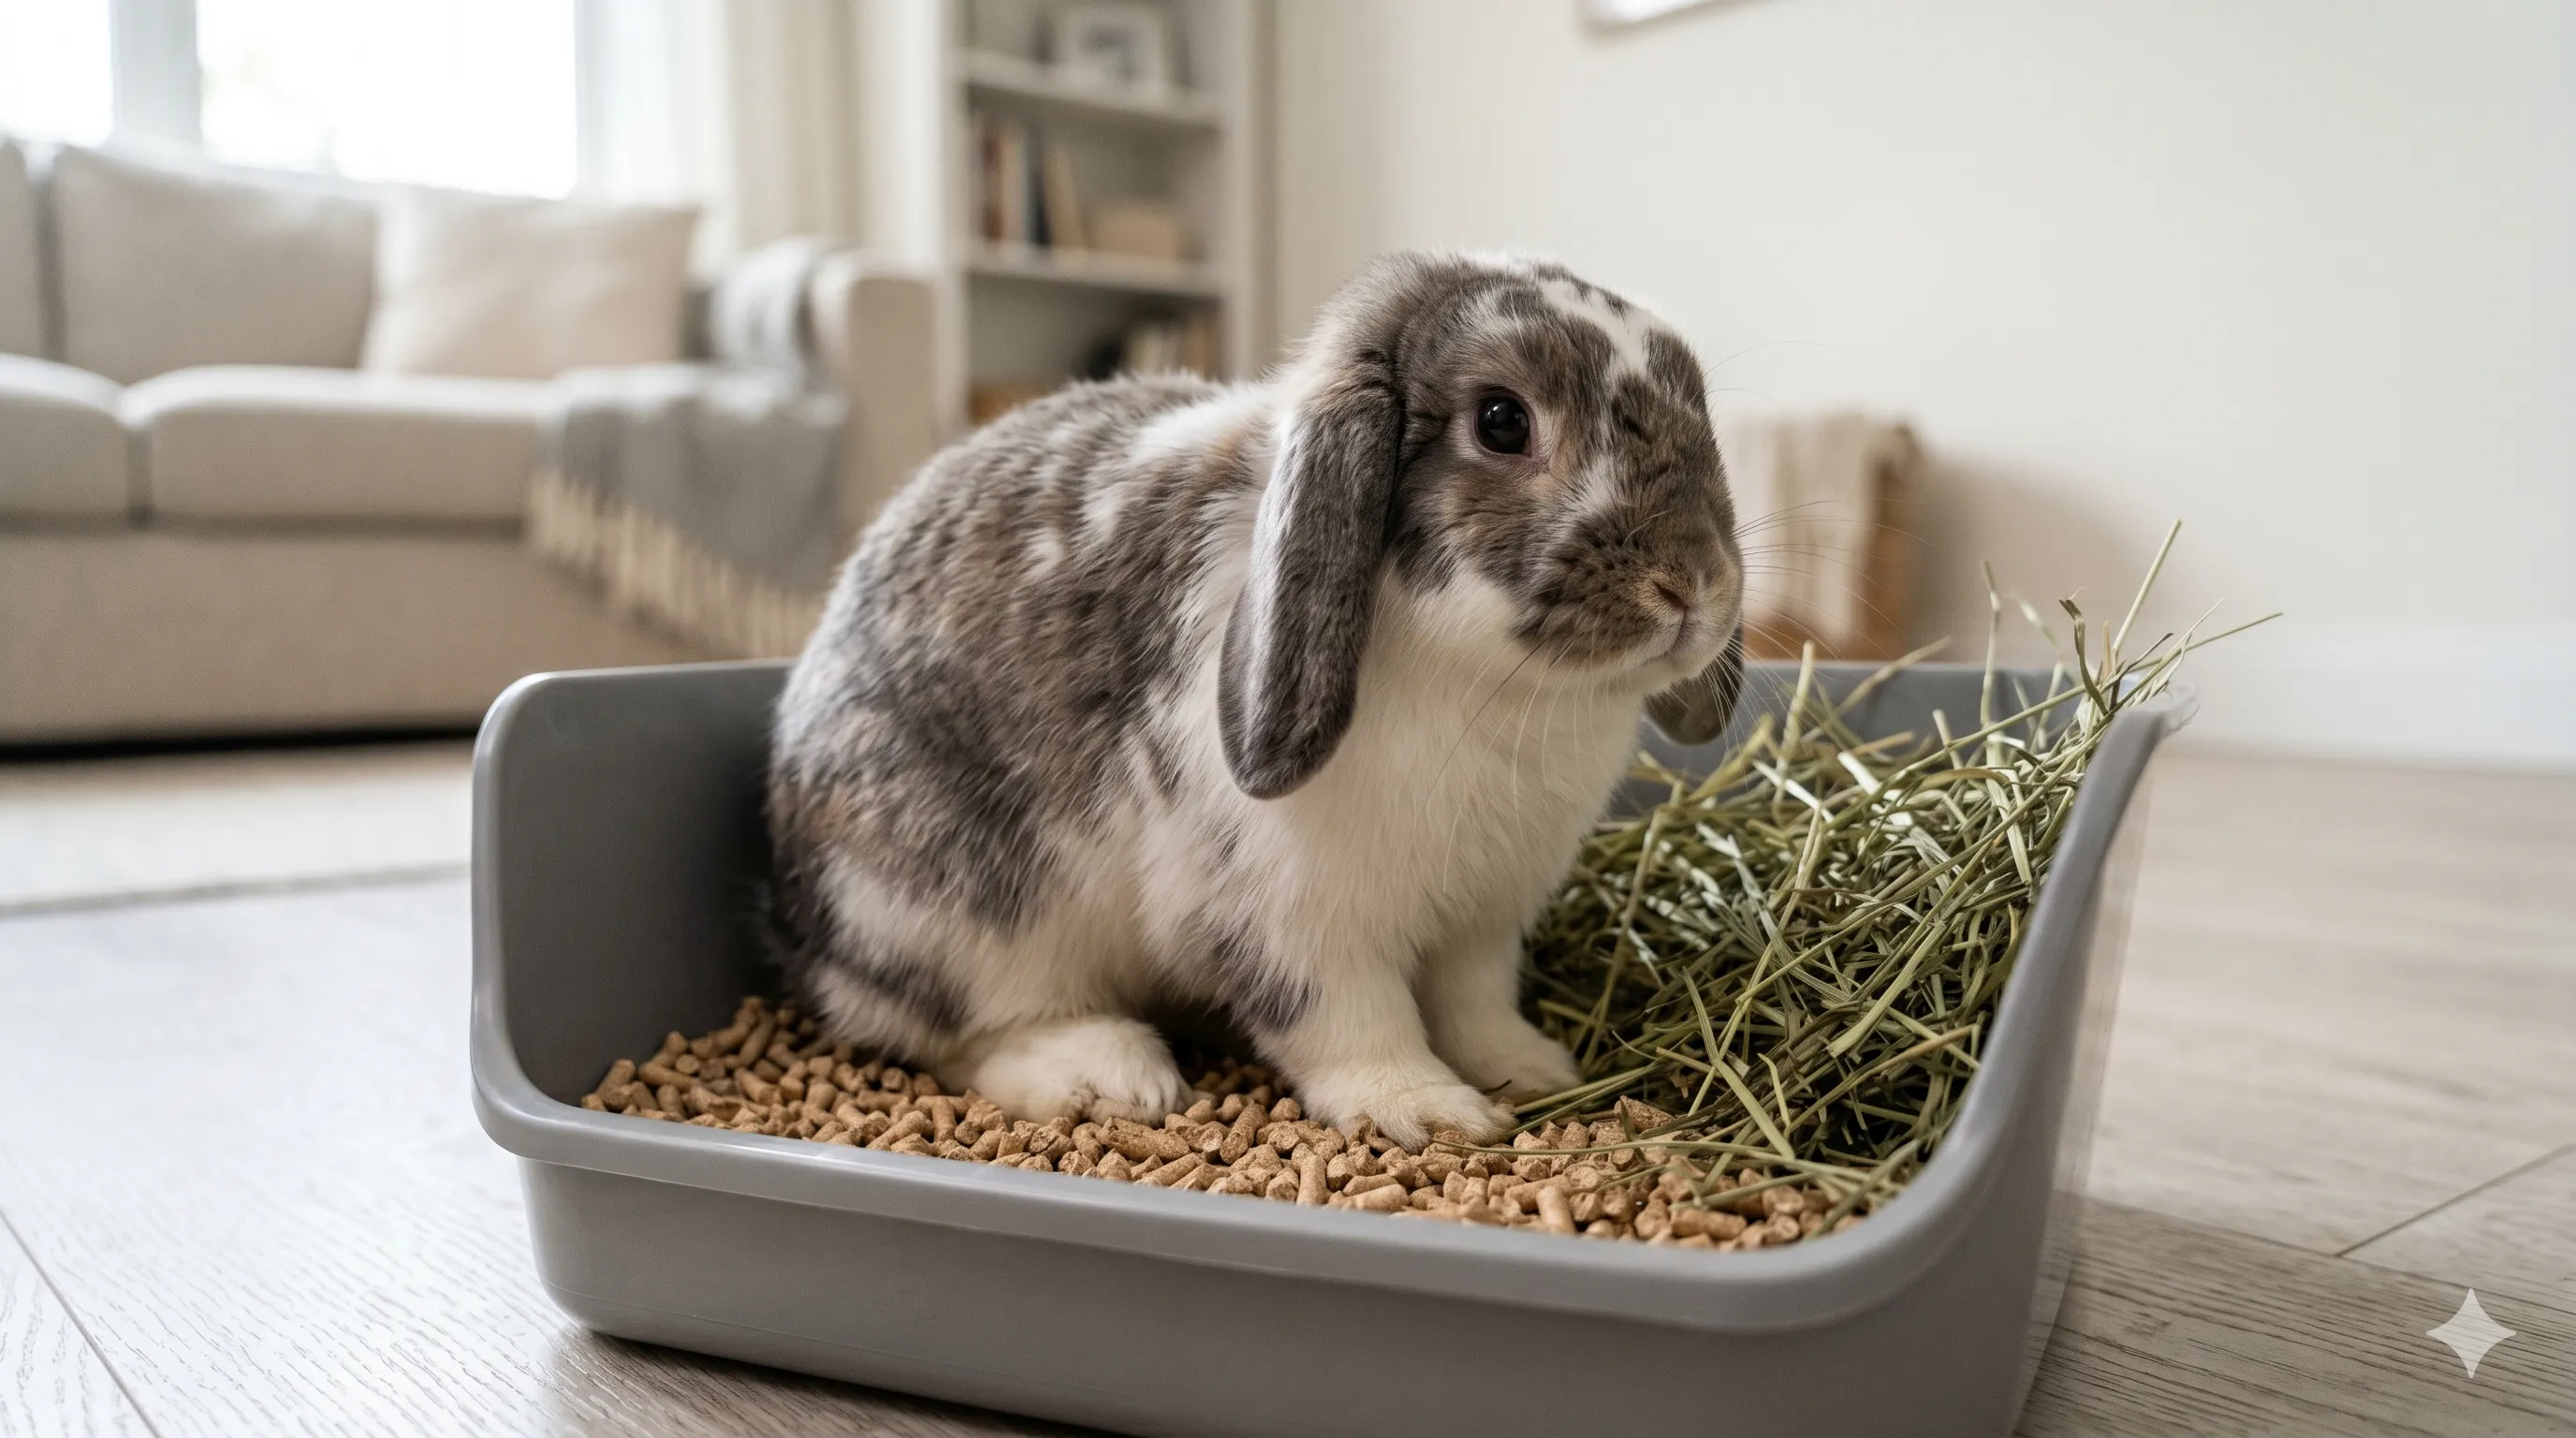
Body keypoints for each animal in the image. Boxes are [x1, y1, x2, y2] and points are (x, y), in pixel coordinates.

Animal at [765, 251, 1744, 1147]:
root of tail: (802, 926)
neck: (1493, 685)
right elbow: (1349, 1019)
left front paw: (1532, 1070)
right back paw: (1110, 1073)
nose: (1691, 585)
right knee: (951, 1030)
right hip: (950, 912)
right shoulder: (1291, 915)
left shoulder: (1483, 922)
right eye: (1502, 422)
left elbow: (1475, 1006)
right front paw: (1428, 1111)